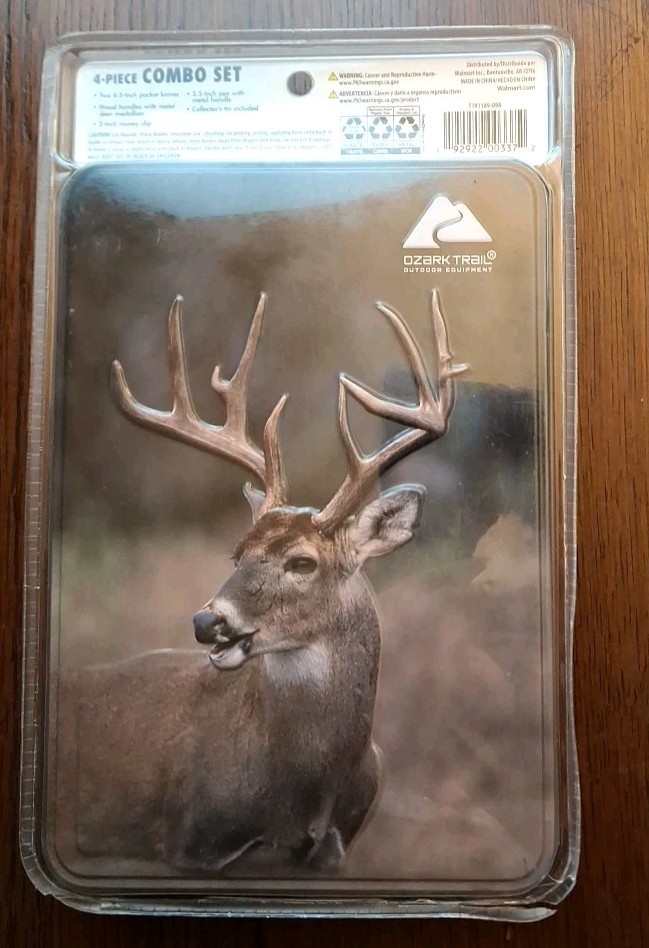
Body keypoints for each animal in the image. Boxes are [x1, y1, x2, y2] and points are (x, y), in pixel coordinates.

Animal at [56, 290, 464, 876]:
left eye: (302, 562)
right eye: (238, 552)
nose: (207, 621)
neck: (303, 794)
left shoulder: (334, 853)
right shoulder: (189, 843)